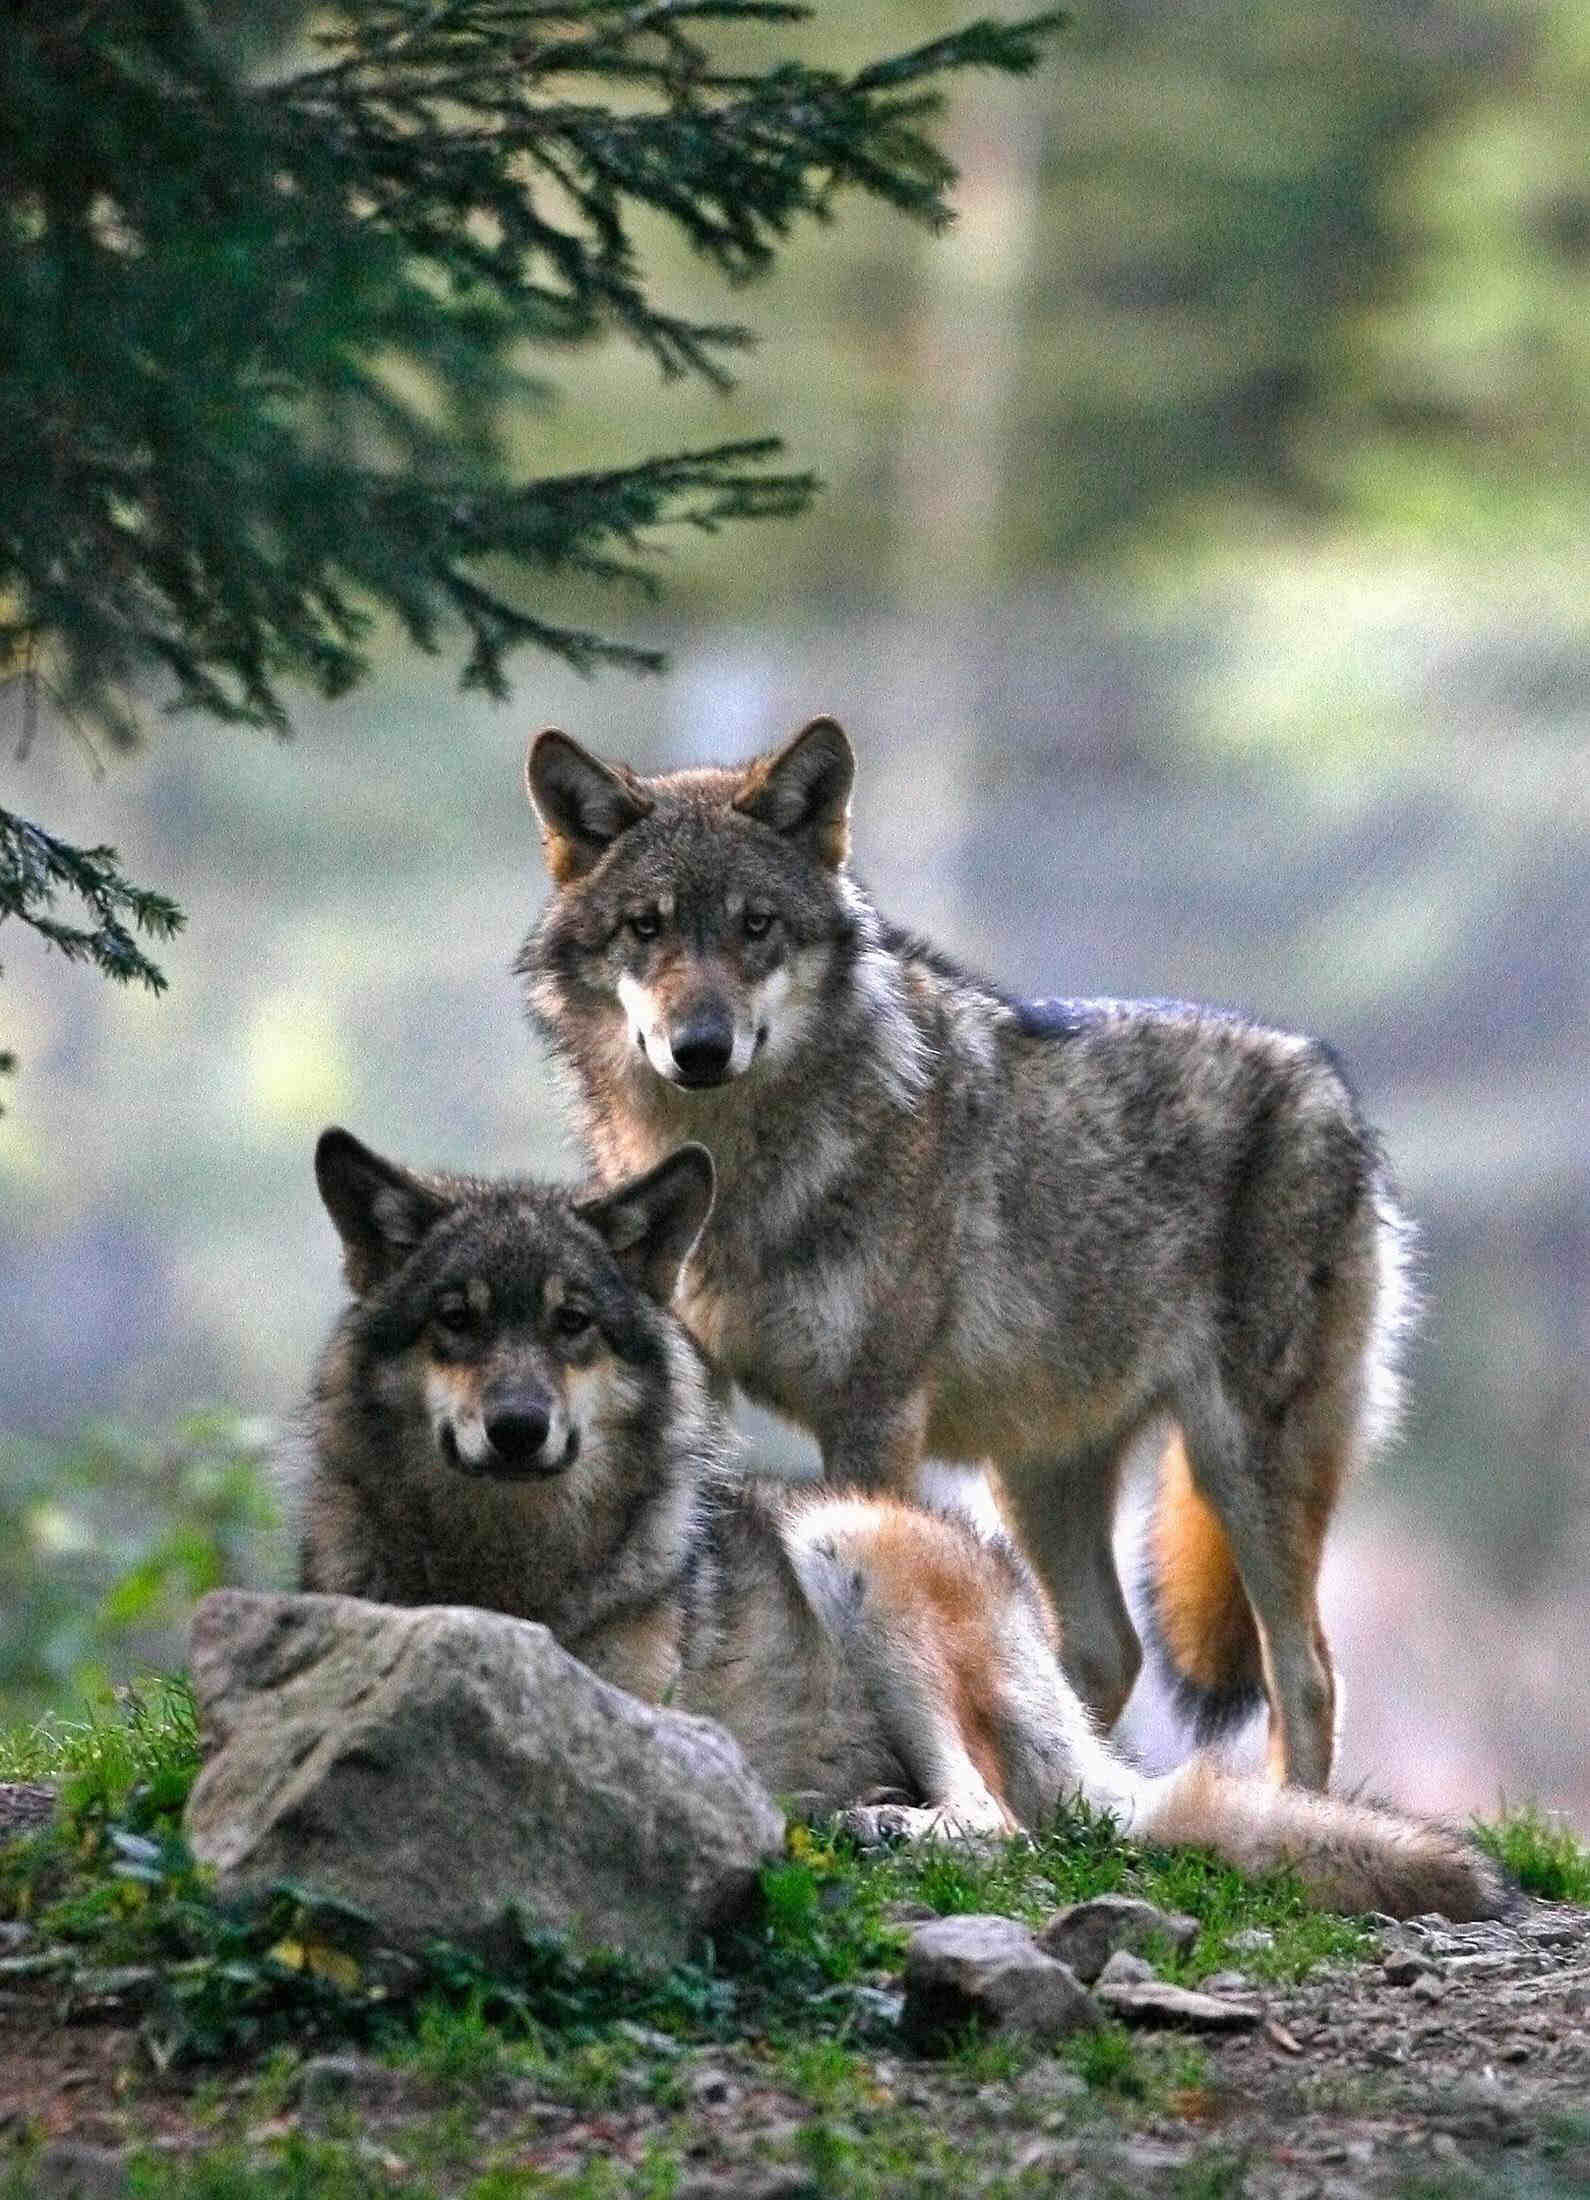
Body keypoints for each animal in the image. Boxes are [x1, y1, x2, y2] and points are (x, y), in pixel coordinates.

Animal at [290, 1135, 1504, 1927]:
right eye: (455, 1322)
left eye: (571, 1324)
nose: (517, 1427)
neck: (508, 1571)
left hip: (855, 1555)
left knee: (1001, 1825)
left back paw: (873, 1826)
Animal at [516, 717, 1407, 1786]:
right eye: (644, 928)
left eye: (756, 926)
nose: (700, 1046)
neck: (741, 1172)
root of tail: (1326, 1077)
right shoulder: (704, 1385)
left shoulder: (876, 1409)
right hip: (1036, 1471)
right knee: (1104, 1647)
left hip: (1246, 1464)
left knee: (1305, 1672)